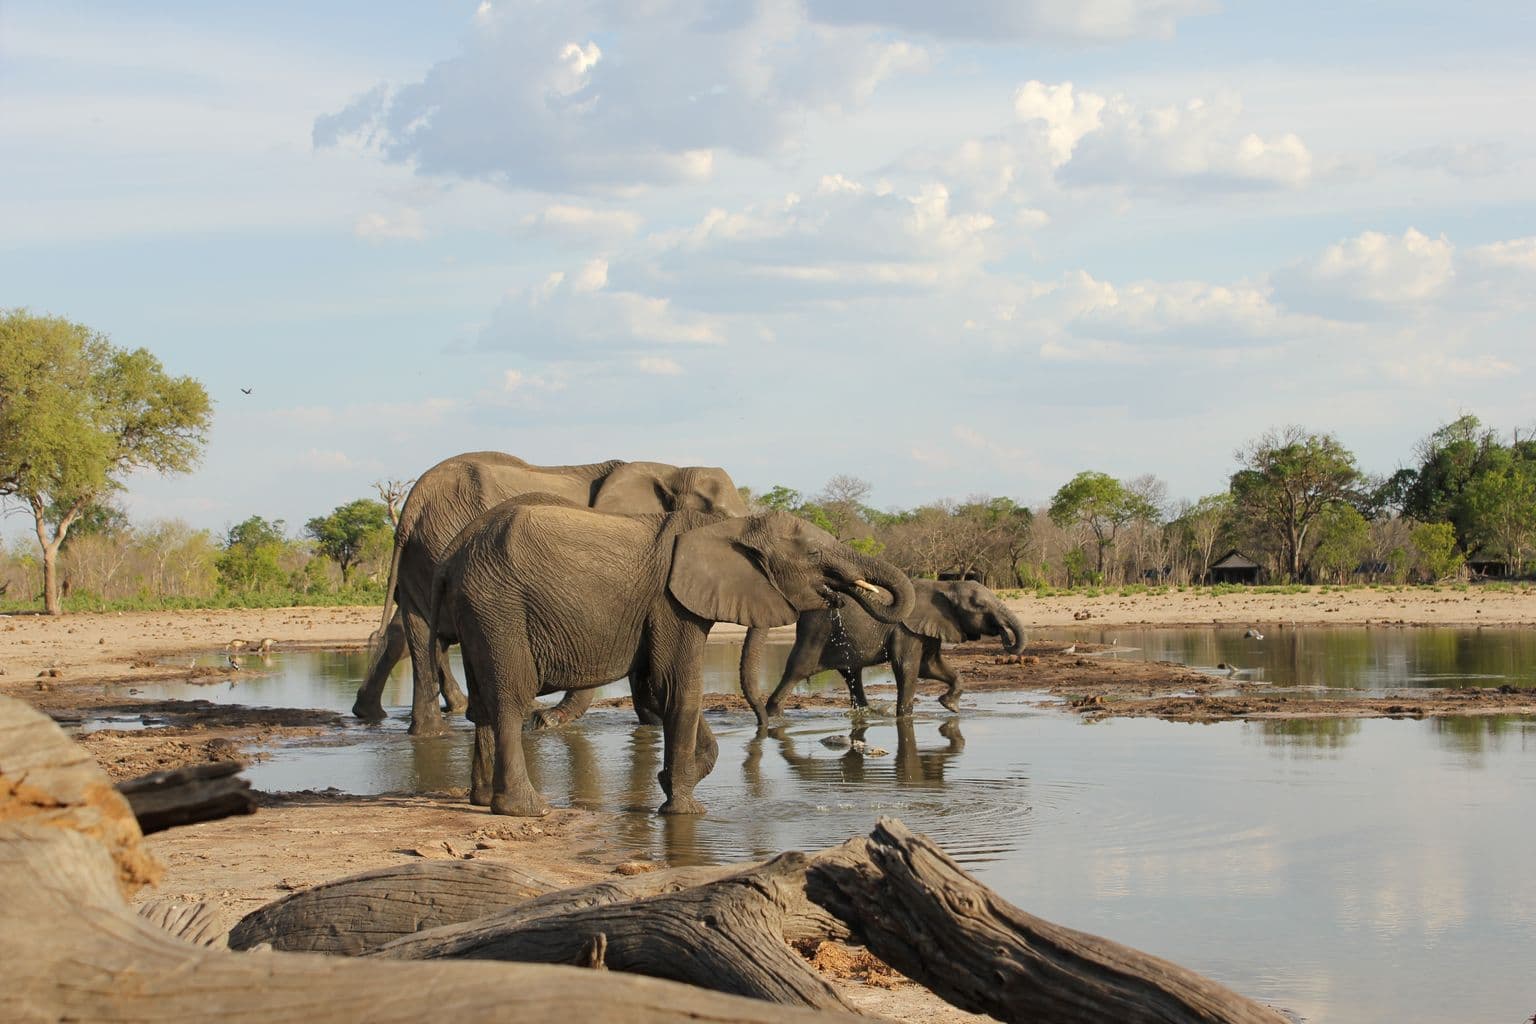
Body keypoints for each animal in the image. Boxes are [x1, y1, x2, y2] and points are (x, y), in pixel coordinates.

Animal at [350, 452, 749, 735]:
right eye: (720, 517)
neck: (671, 469)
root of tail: (412, 505)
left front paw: (650, 719)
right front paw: (550, 720)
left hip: (425, 553)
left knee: (415, 630)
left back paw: (418, 729)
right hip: (443, 543)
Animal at [425, 503, 915, 816]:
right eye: (813, 555)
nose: (766, 724)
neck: (728, 524)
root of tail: (450, 558)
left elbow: (659, 693)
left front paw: (669, 783)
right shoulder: (670, 603)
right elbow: (679, 689)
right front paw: (685, 810)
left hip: (479, 611)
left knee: (483, 705)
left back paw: (480, 800)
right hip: (499, 606)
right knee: (509, 699)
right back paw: (525, 810)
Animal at [752, 578, 1025, 720]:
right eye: (979, 606)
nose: (1004, 635)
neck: (944, 586)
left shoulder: (926, 628)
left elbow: (930, 666)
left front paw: (950, 706)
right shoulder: (906, 629)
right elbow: (908, 668)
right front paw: (904, 717)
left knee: (851, 674)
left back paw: (866, 712)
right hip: (816, 630)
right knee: (799, 668)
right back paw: (773, 714)